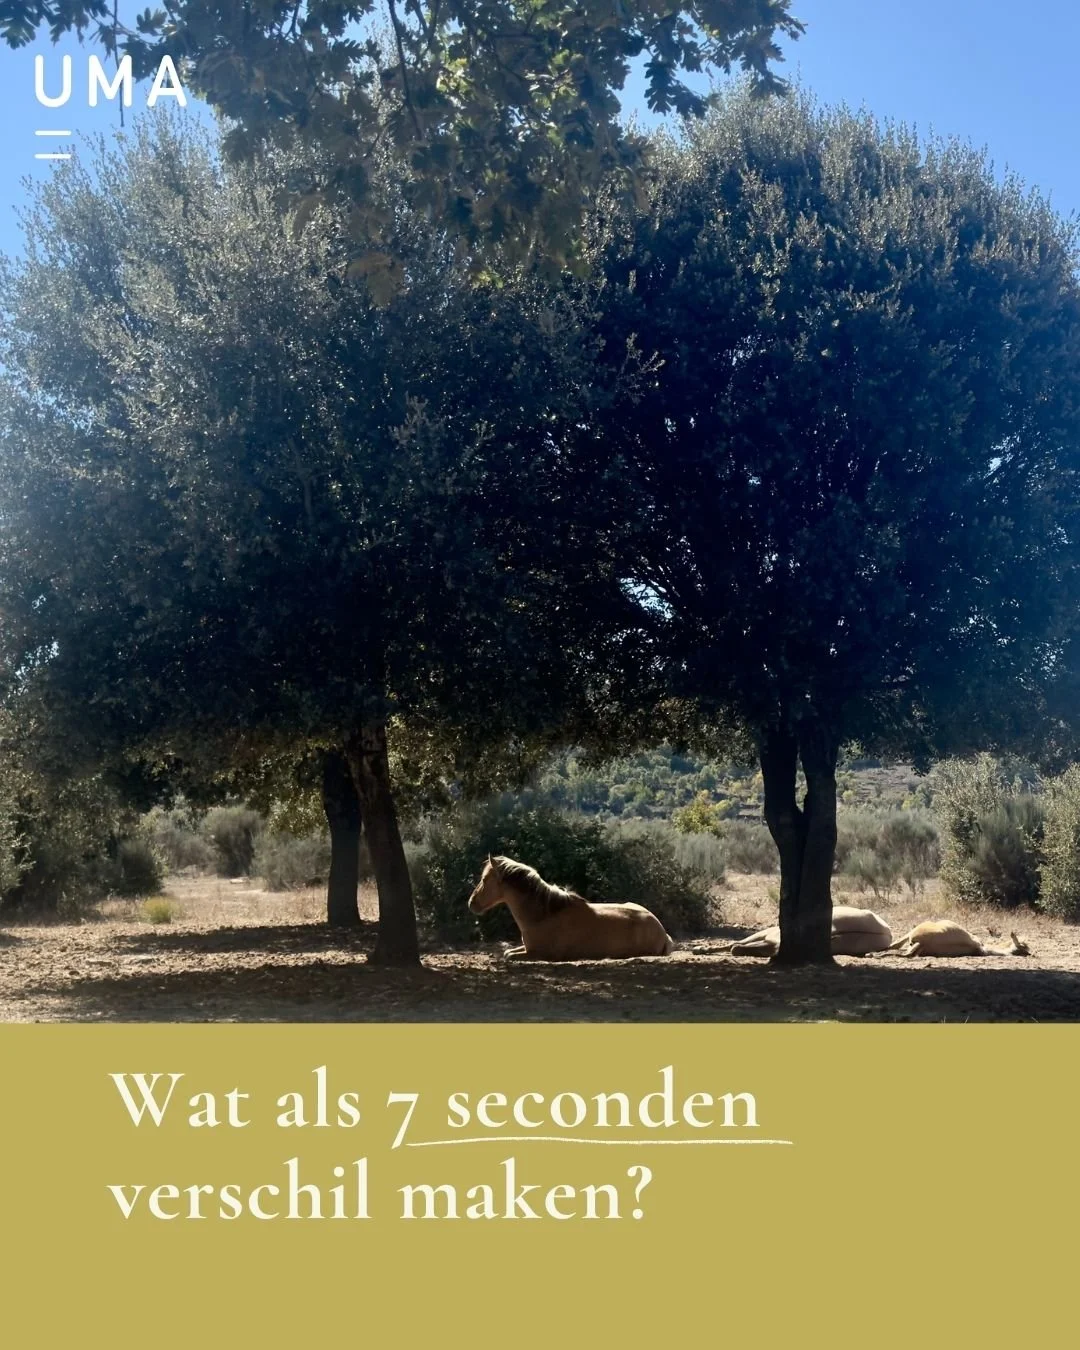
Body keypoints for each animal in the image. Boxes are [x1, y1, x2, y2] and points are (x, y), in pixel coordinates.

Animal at [467, 855, 675, 960]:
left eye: (485, 879)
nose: (472, 903)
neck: (545, 914)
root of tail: (661, 930)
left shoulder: (538, 953)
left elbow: (509, 956)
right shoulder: (526, 947)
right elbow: (507, 952)